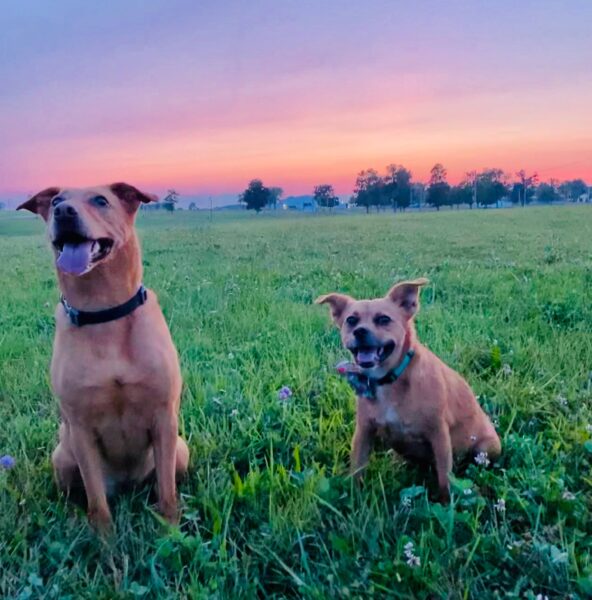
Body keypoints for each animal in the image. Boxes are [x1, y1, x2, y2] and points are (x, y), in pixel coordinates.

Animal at [19, 184, 188, 528]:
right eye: (55, 201)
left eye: (101, 200)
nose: (63, 211)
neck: (104, 313)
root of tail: (127, 485)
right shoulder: (80, 427)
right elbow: (97, 502)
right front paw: (104, 538)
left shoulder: (164, 417)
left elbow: (167, 492)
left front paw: (171, 531)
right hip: (63, 455)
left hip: (181, 449)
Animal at [314, 278, 500, 500]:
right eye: (351, 320)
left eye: (383, 319)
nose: (360, 331)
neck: (389, 380)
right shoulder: (364, 431)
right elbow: (357, 470)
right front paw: (354, 499)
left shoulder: (439, 435)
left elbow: (444, 479)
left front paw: (446, 503)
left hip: (486, 448)